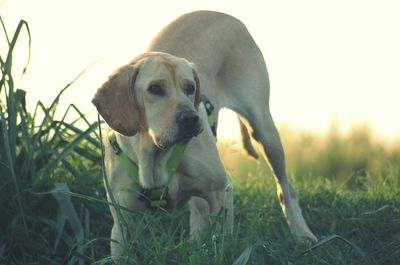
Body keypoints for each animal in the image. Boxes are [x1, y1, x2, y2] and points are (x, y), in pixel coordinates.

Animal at [92, 9, 318, 256]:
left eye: (190, 88)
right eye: (155, 89)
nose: (191, 119)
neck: (155, 157)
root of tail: (224, 14)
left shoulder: (222, 190)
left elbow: (224, 241)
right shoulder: (122, 221)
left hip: (264, 130)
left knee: (286, 189)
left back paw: (303, 235)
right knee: (199, 211)